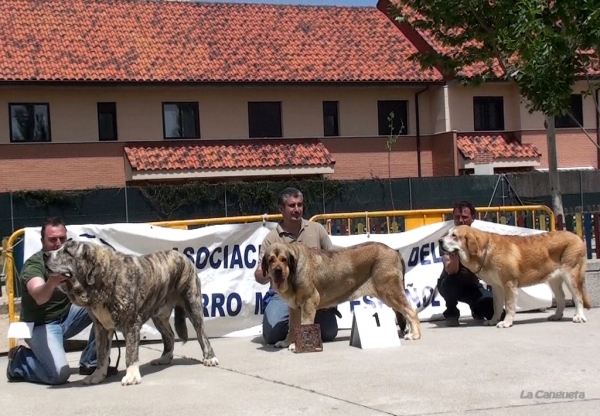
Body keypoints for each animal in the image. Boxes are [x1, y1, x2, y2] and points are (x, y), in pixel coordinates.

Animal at [44, 240, 219, 386]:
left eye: (67, 252)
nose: (45, 254)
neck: (104, 277)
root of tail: (182, 256)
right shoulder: (101, 328)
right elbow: (102, 356)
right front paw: (97, 376)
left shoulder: (131, 324)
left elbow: (130, 353)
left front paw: (132, 376)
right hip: (158, 316)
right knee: (169, 335)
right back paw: (164, 357)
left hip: (192, 304)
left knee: (201, 333)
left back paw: (209, 357)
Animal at [260, 240, 420, 352]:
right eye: (271, 260)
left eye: (284, 259)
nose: (278, 271)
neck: (293, 270)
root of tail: (395, 251)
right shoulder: (294, 308)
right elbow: (292, 327)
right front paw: (287, 342)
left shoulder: (309, 302)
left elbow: (305, 324)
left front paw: (297, 344)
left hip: (390, 291)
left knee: (411, 311)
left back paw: (415, 335)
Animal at [438, 224, 592, 328]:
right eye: (447, 234)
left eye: (454, 236)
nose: (440, 241)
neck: (486, 249)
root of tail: (577, 236)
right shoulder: (497, 287)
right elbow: (497, 305)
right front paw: (493, 320)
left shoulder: (509, 284)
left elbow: (509, 305)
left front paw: (506, 322)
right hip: (554, 279)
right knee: (561, 298)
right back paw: (557, 316)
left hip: (570, 275)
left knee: (577, 296)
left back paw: (579, 316)